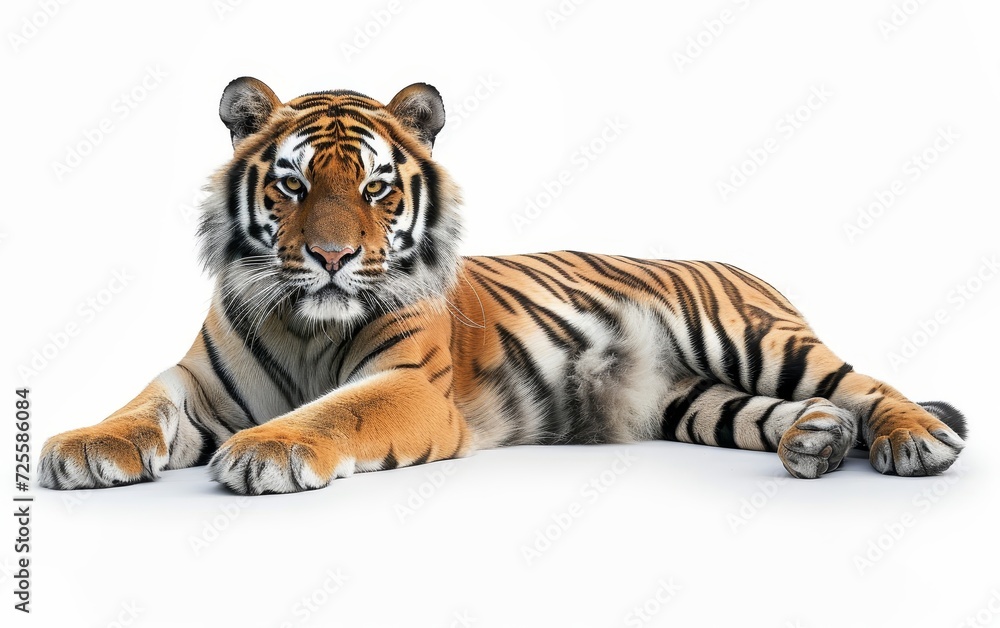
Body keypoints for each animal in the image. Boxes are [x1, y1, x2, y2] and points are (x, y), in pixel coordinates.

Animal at [38, 77, 968, 495]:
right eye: (293, 186)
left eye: (376, 189)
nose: (333, 258)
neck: (307, 325)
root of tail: (748, 268)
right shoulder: (195, 382)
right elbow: (141, 404)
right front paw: (82, 445)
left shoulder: (409, 385)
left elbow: (333, 412)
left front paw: (266, 450)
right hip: (697, 399)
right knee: (794, 410)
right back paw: (818, 443)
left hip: (753, 337)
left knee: (867, 385)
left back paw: (913, 442)